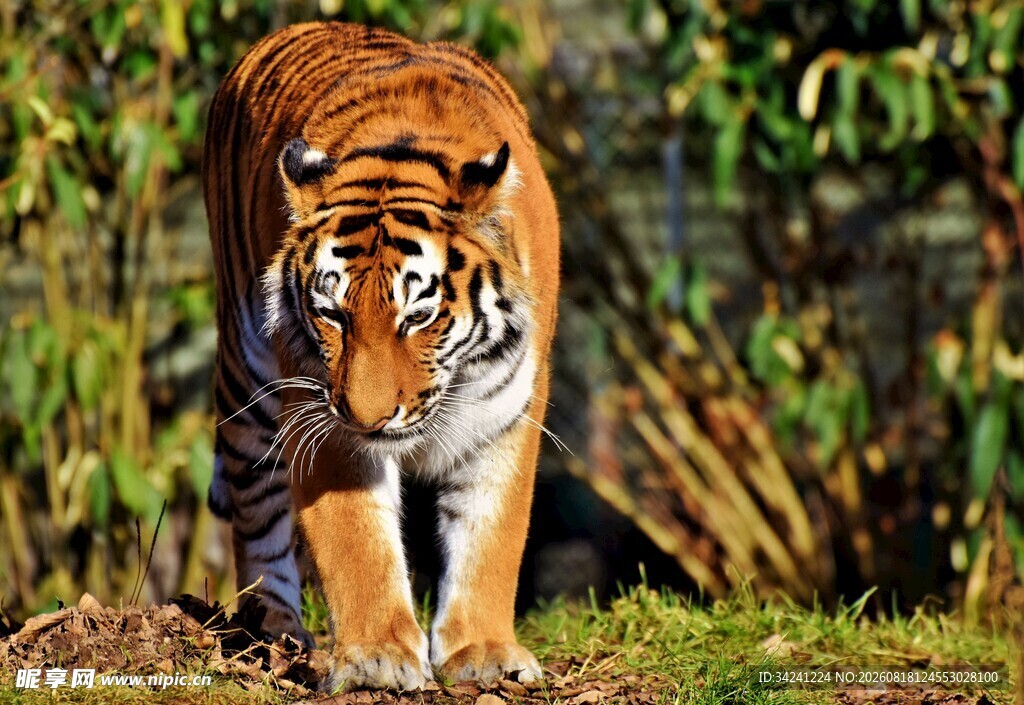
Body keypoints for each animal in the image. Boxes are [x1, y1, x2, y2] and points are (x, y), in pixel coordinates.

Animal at [201, 21, 560, 691]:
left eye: (417, 316)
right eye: (332, 313)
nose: (368, 418)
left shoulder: (507, 409)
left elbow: (491, 532)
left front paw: (484, 652)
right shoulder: (320, 408)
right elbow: (356, 540)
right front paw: (378, 659)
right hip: (246, 379)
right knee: (256, 514)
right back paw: (273, 629)